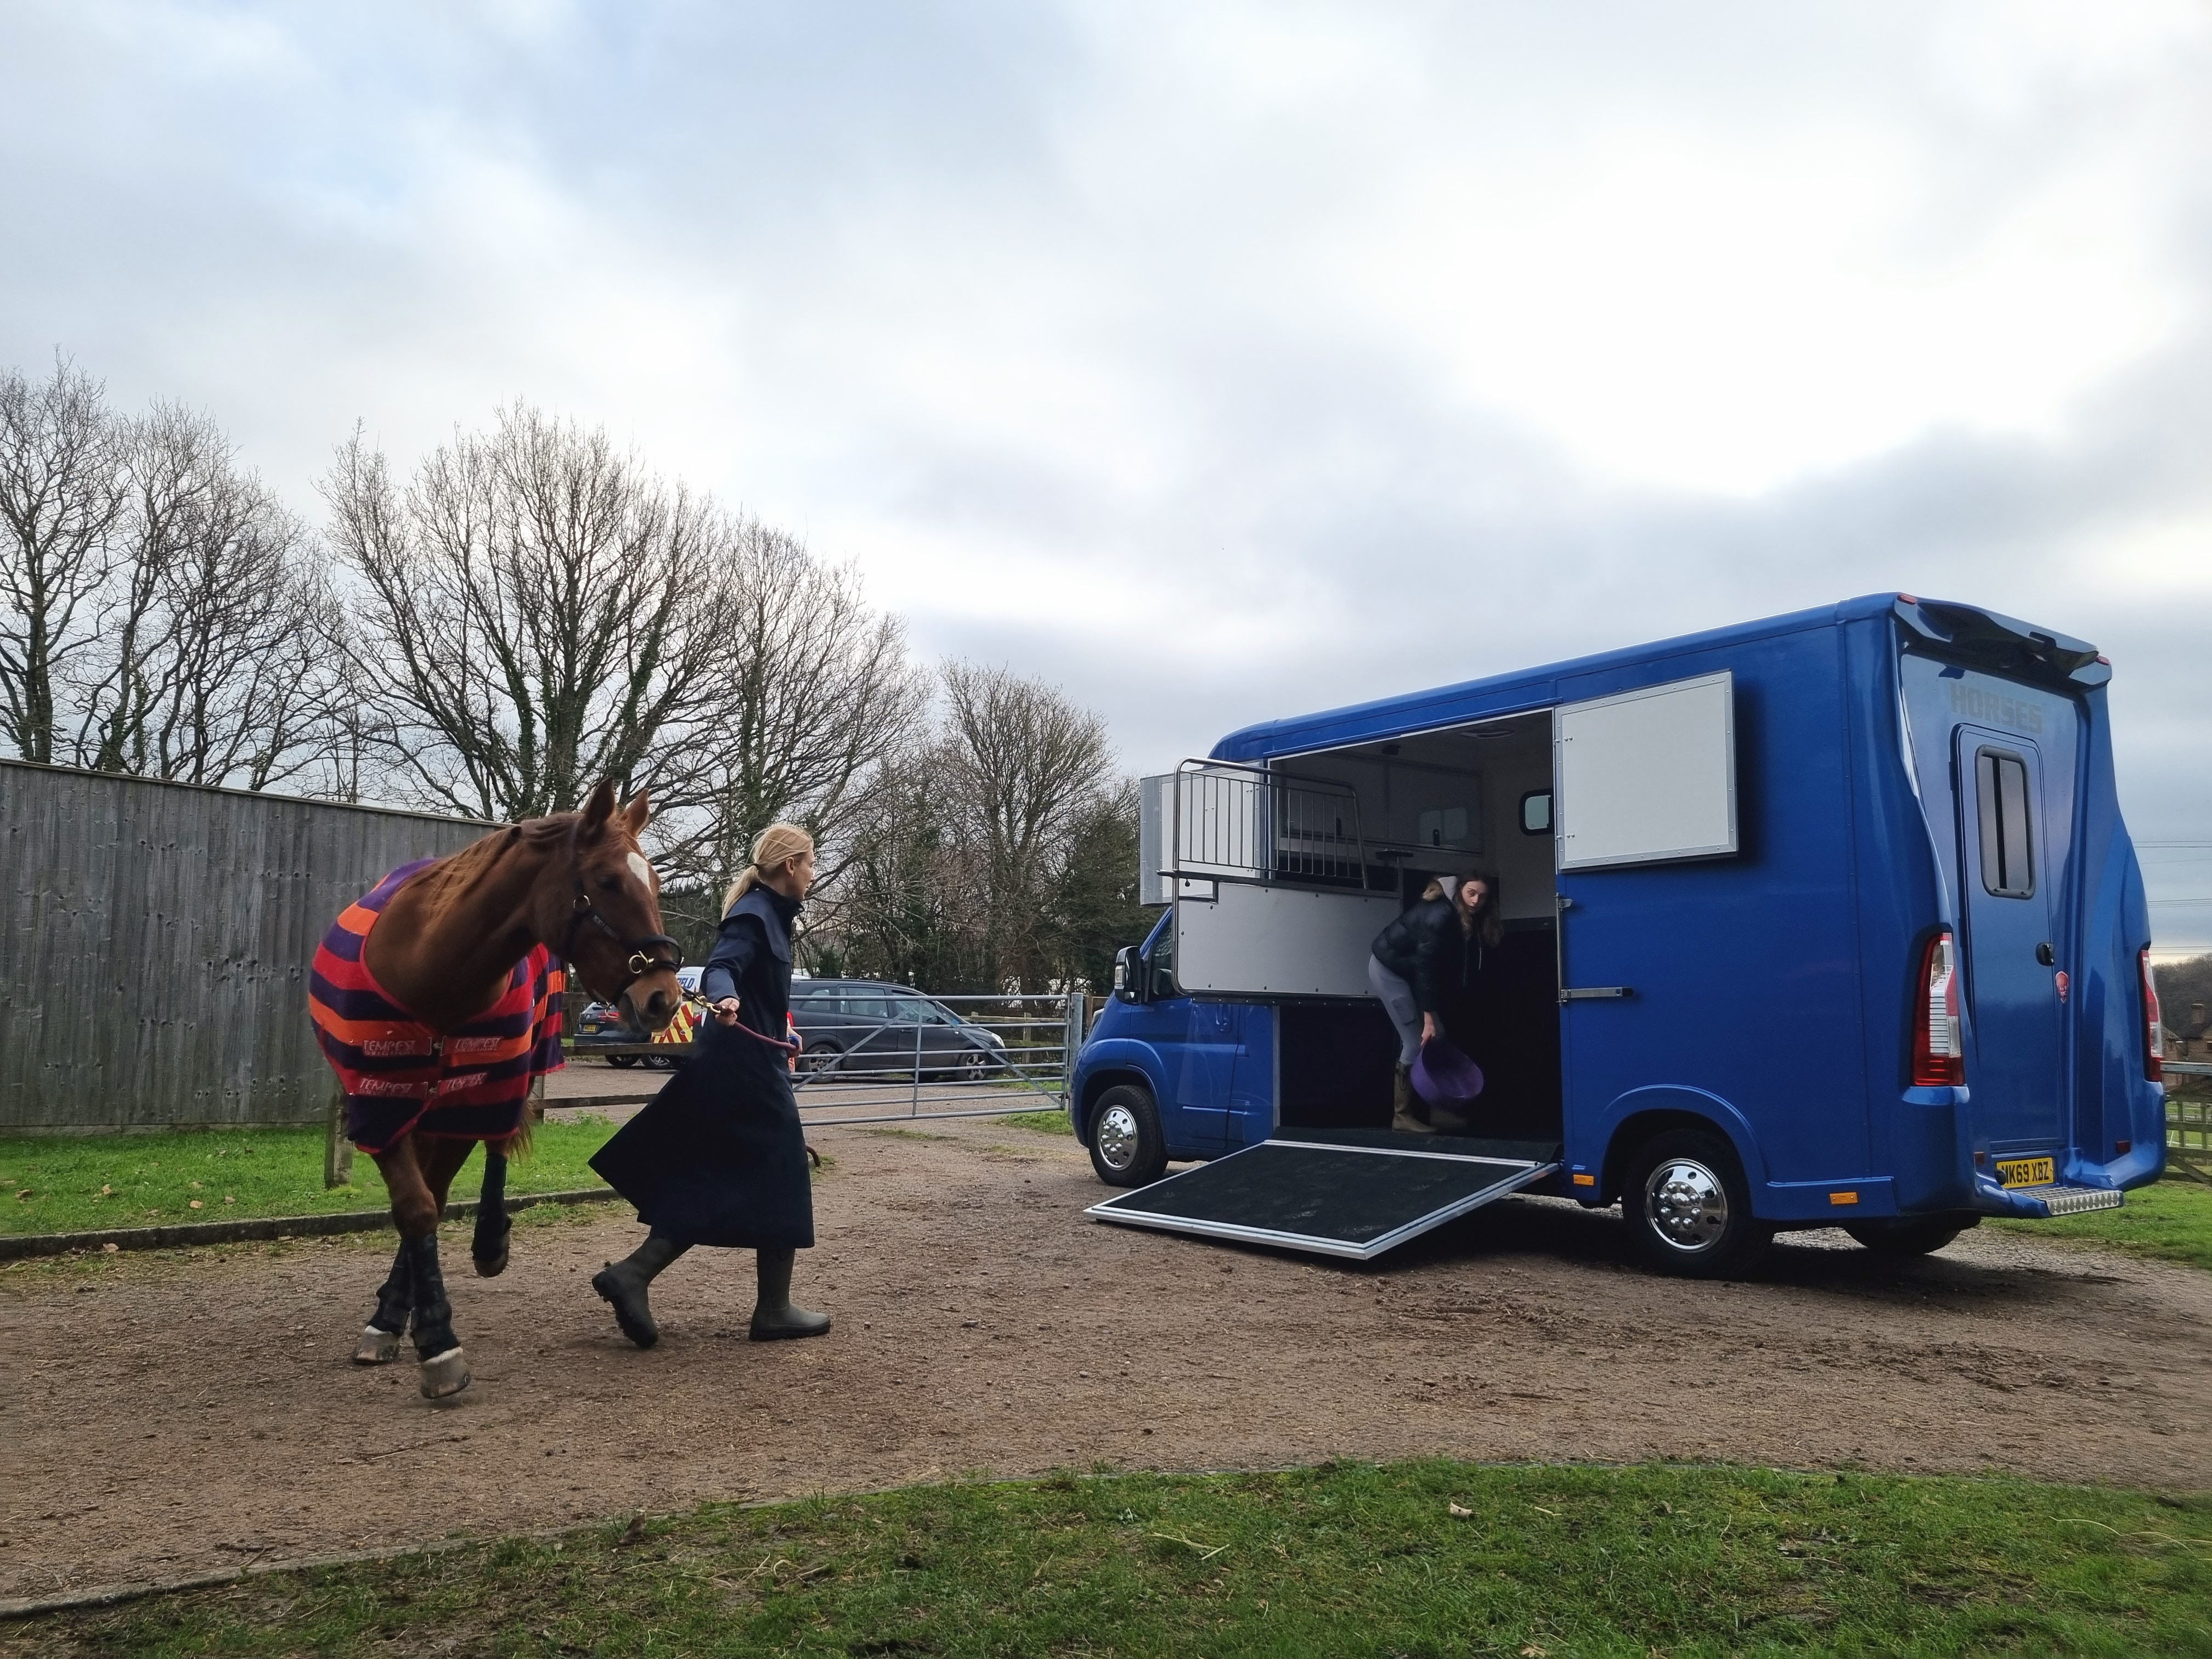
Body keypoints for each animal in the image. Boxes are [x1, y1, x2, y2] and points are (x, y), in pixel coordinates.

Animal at [310, 780, 682, 1399]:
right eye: (608, 880)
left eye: (654, 884)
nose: (665, 999)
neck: (433, 969)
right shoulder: (378, 1103)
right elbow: (414, 1207)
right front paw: (408, 1327)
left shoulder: (471, 1101)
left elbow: (435, 1197)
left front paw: (432, 1334)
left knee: (498, 1143)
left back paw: (487, 1242)